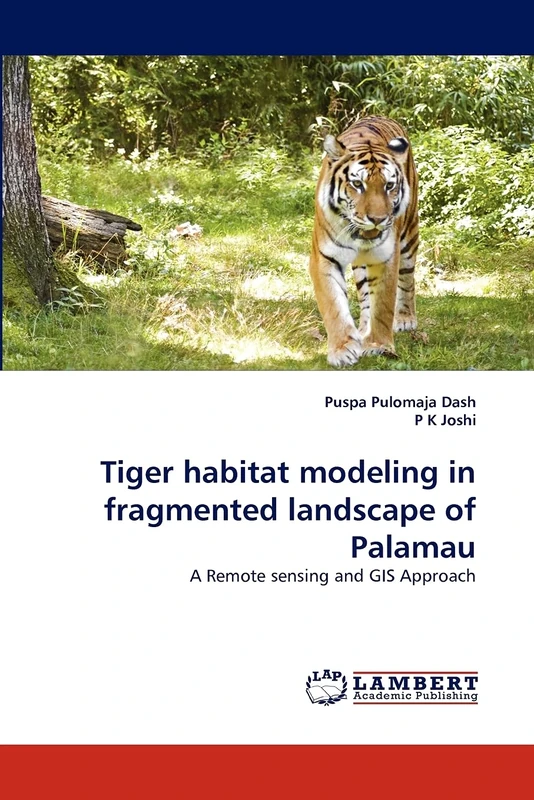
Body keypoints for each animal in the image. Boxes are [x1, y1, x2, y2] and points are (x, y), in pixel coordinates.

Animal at [309, 115, 419, 367]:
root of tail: (379, 115)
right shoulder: (324, 258)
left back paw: (405, 318)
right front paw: (342, 349)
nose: (377, 219)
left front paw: (379, 345)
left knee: (407, 279)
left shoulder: (387, 257)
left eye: (389, 185)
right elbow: (334, 305)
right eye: (358, 184)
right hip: (360, 266)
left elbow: (384, 304)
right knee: (365, 295)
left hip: (409, 236)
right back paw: (362, 329)